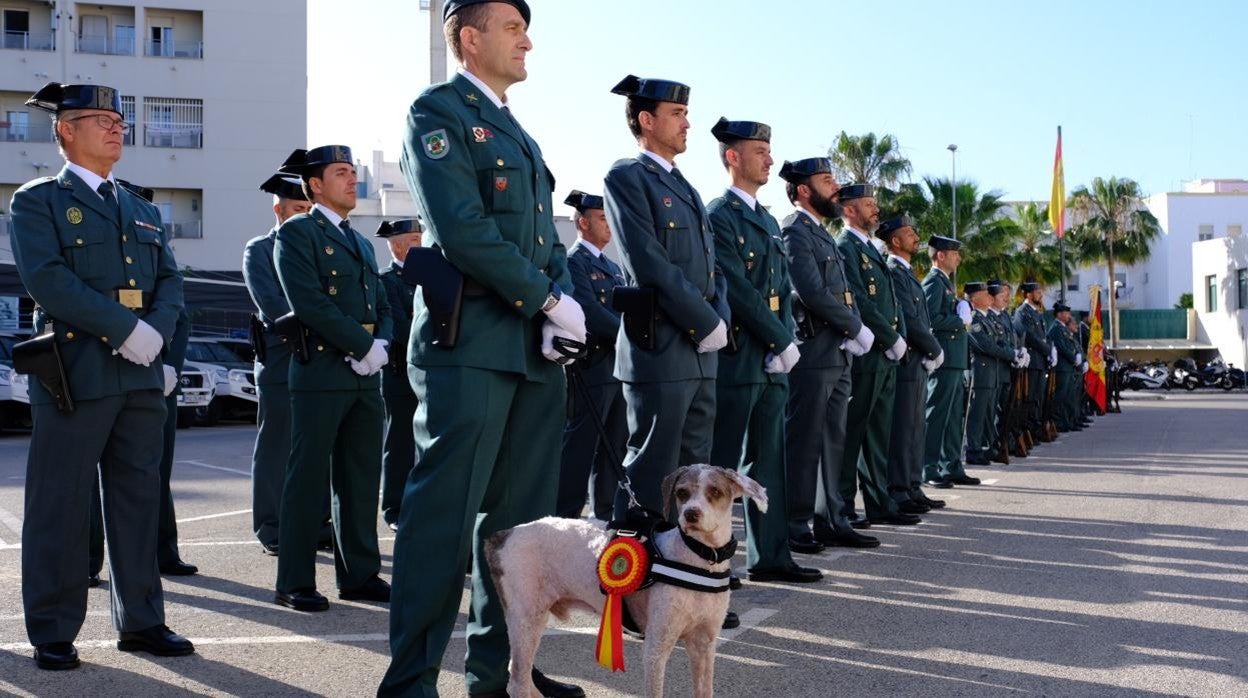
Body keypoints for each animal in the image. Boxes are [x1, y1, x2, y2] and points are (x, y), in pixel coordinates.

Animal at [481, 464, 763, 698]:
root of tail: (504, 534)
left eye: (715, 491)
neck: (698, 560)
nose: (691, 515)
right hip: (526, 620)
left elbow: (705, 690)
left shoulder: (704, 645)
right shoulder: (656, 648)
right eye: (682, 492)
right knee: (517, 683)